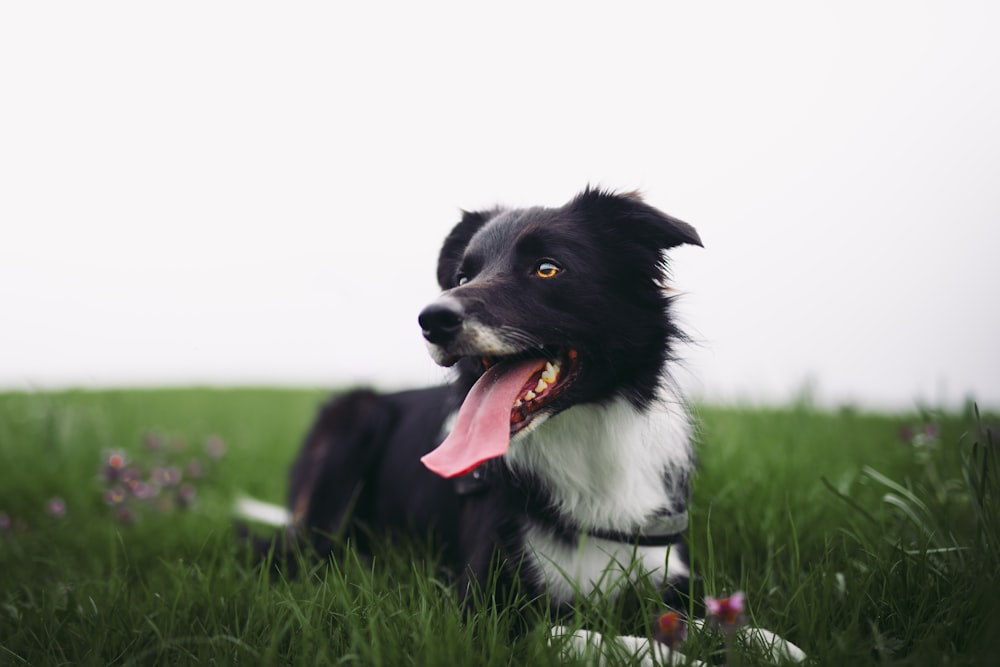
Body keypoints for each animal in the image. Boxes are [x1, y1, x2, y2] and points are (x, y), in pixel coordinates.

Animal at [252, 189, 804, 667]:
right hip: (354, 418)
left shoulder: (666, 571)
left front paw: (774, 645)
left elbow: (721, 616)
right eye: (461, 274)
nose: (431, 319)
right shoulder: (485, 612)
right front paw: (682, 657)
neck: (583, 444)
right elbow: (598, 637)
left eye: (547, 268)